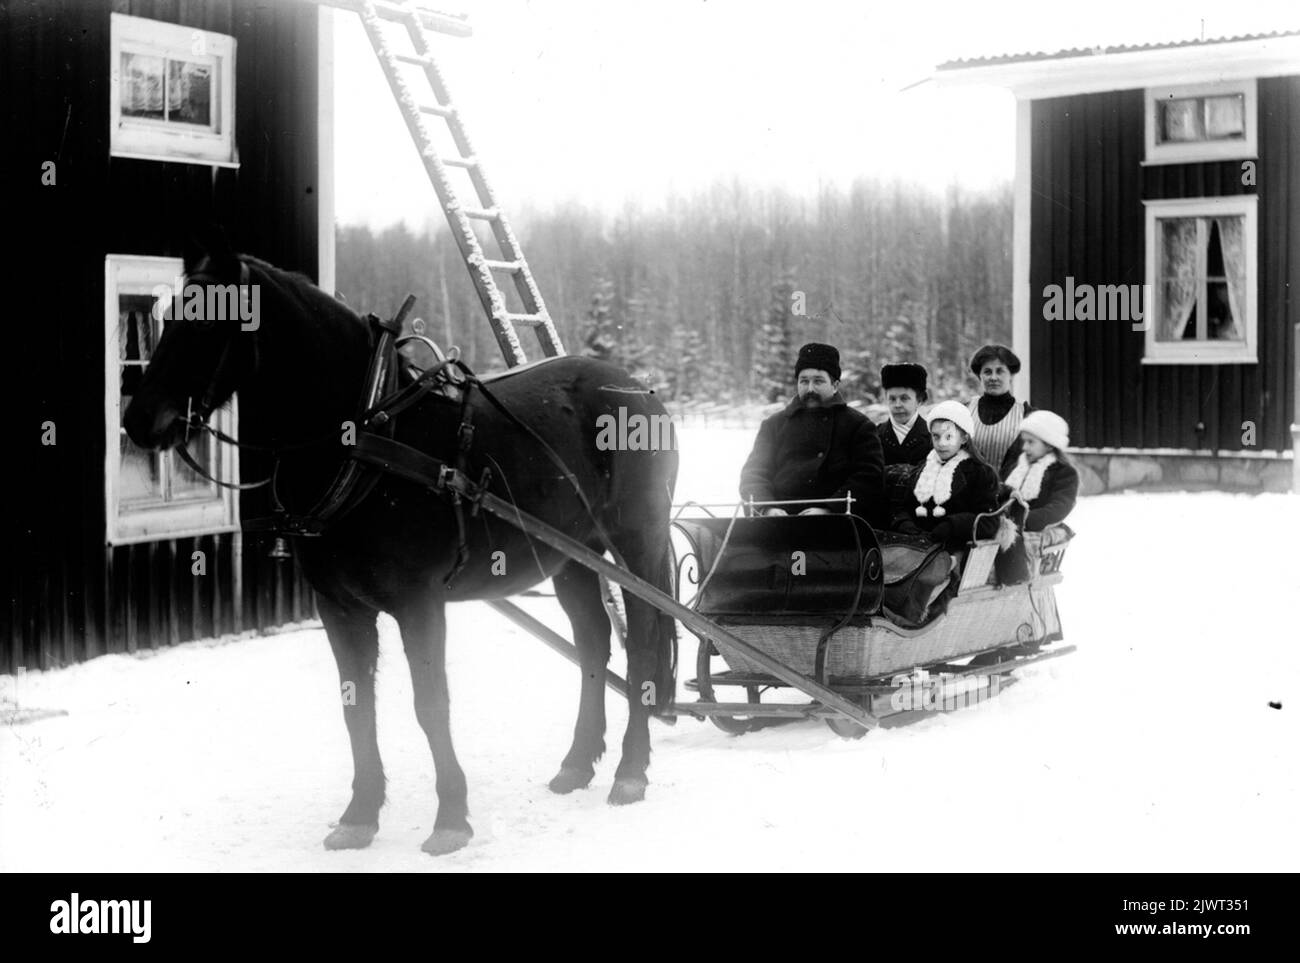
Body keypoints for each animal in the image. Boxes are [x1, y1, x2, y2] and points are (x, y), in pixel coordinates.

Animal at [124, 236, 681, 852]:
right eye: (170, 315)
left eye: (211, 320)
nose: (140, 420)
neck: (366, 444)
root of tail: (637, 387)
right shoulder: (340, 608)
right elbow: (356, 707)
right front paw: (359, 815)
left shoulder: (420, 604)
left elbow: (430, 705)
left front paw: (451, 818)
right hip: (569, 557)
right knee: (593, 644)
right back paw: (578, 763)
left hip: (637, 544)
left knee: (642, 646)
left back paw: (631, 772)